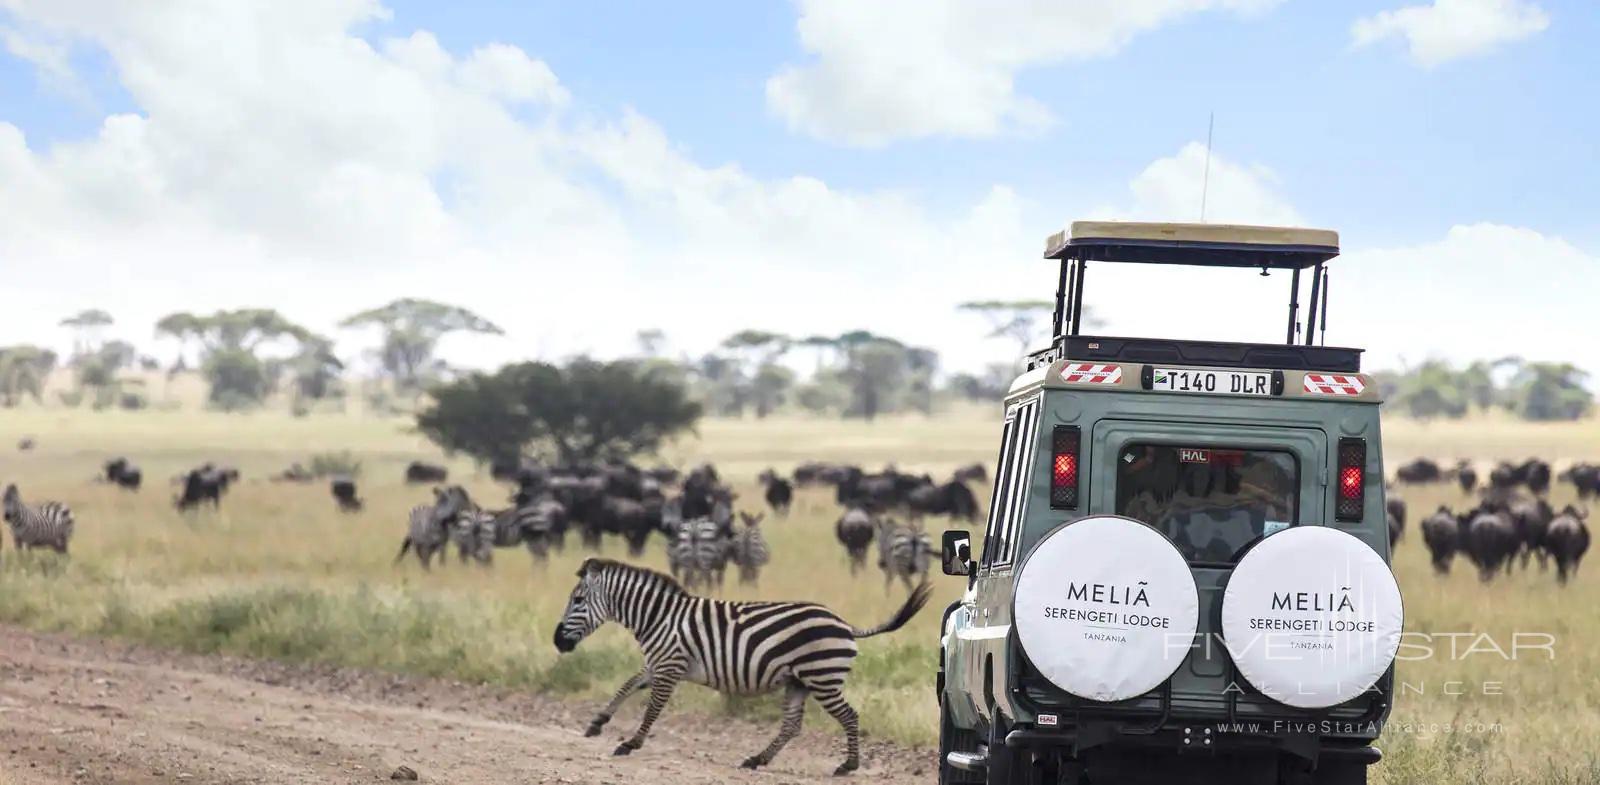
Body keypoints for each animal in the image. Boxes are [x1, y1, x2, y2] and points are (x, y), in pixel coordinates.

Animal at [553, 559, 934, 773]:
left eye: (578, 600)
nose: (558, 642)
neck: (658, 617)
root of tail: (845, 624)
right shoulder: (660, 664)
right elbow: (627, 684)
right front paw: (597, 723)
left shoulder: (670, 665)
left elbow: (652, 709)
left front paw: (630, 743)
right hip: (798, 682)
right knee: (791, 727)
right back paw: (757, 760)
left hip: (822, 679)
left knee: (850, 717)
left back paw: (848, 765)